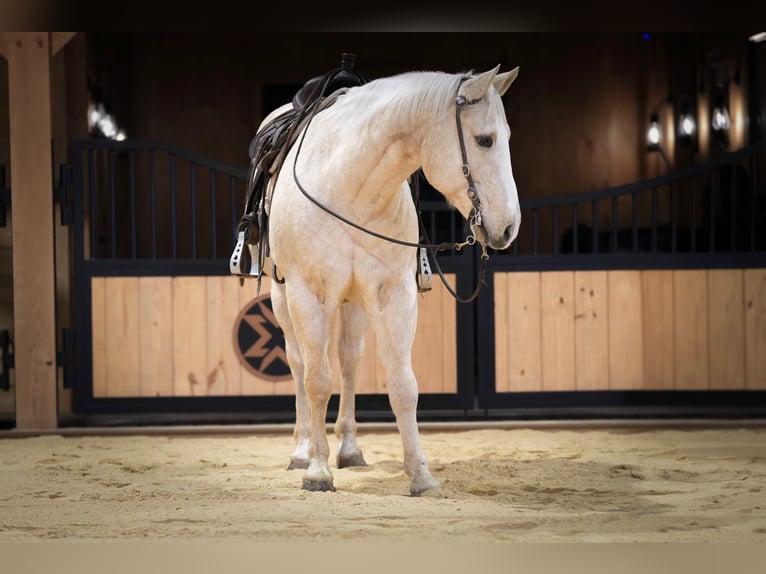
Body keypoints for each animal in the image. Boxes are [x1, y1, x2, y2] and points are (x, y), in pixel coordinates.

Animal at [249, 64, 520, 496]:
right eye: (484, 139)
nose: (509, 227)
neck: (348, 186)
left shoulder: (394, 295)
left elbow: (403, 386)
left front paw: (421, 475)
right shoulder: (308, 295)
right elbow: (316, 380)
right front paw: (317, 471)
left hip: (355, 303)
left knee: (348, 361)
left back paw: (348, 448)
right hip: (282, 297)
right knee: (299, 362)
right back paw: (302, 450)